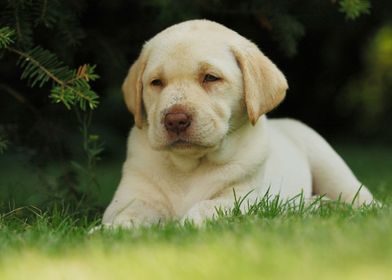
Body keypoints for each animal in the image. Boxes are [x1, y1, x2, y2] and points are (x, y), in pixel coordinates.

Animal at [102, 18, 376, 226]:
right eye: (156, 82)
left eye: (210, 78)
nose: (175, 120)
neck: (189, 168)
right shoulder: (130, 197)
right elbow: (127, 213)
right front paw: (112, 230)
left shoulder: (245, 198)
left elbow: (206, 206)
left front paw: (184, 224)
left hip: (331, 167)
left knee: (363, 199)